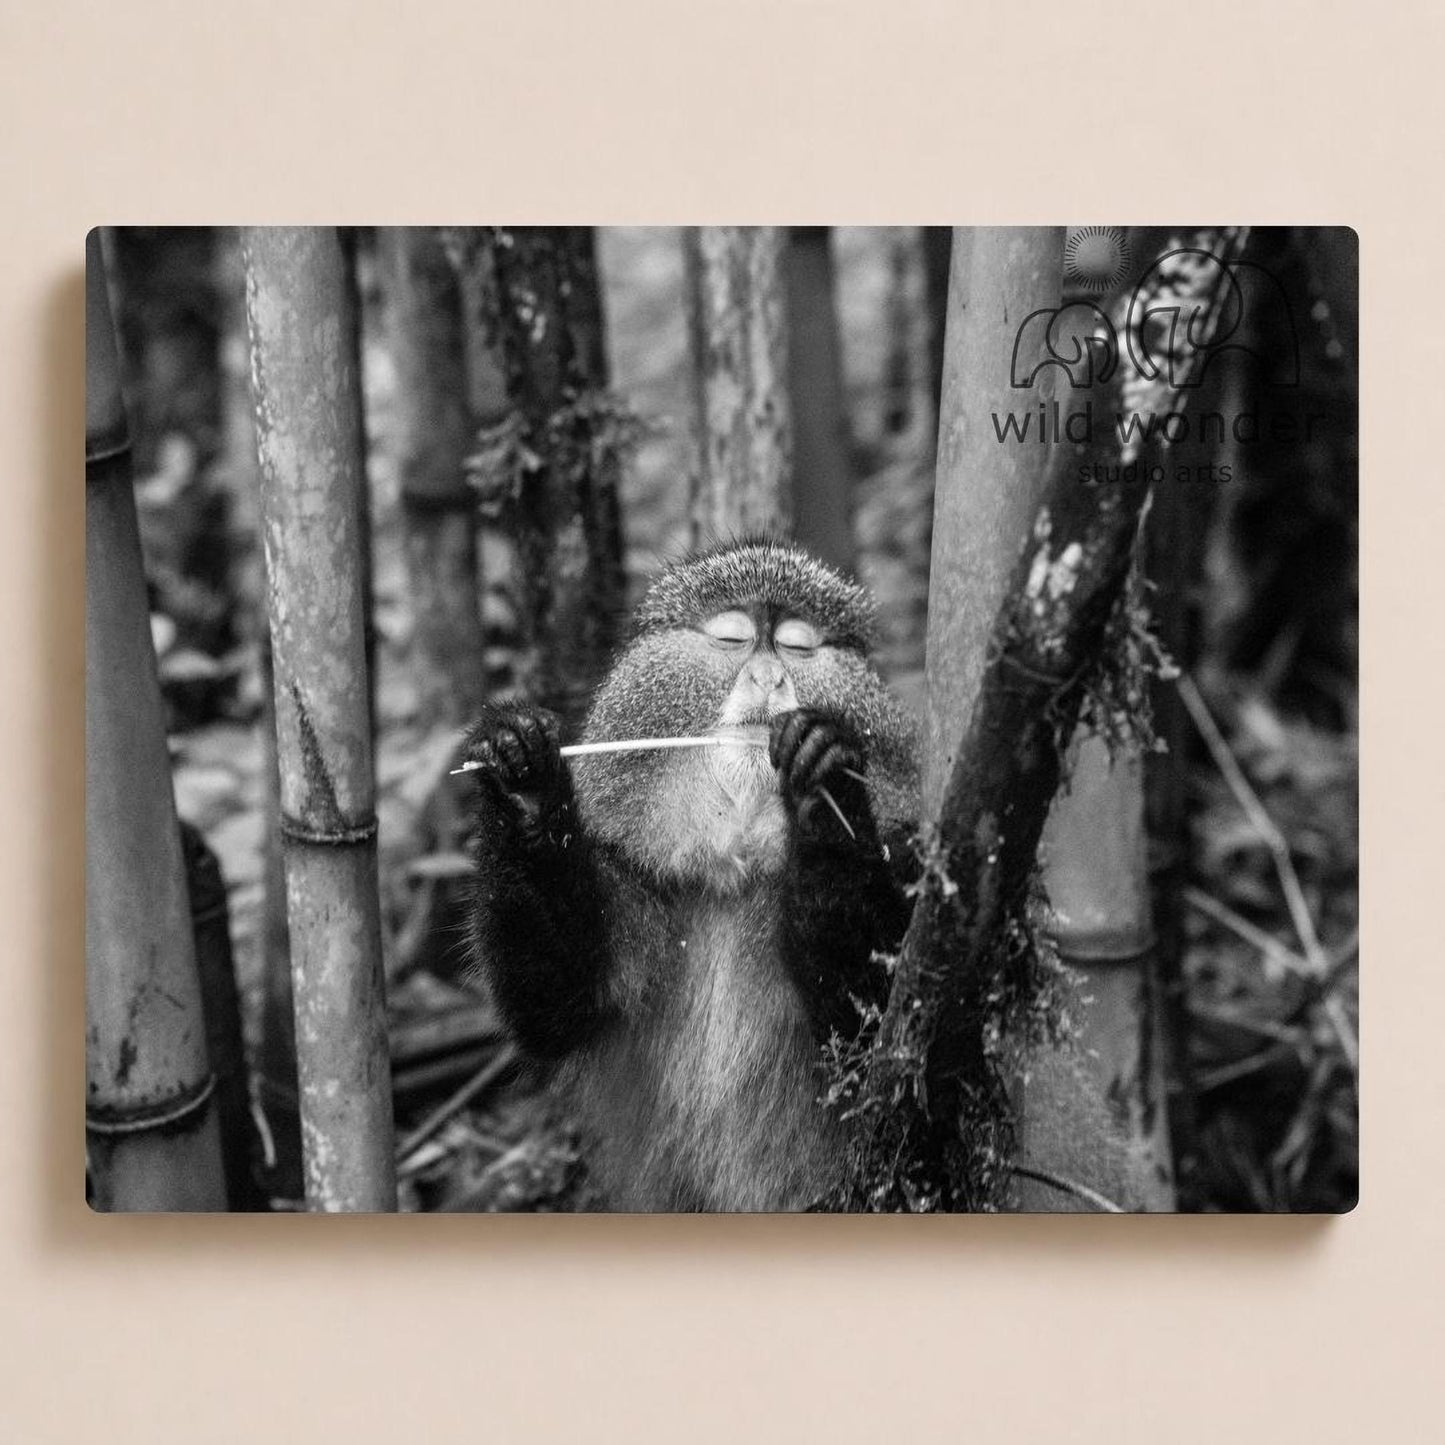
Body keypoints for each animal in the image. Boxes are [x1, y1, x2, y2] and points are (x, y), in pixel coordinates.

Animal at [462, 538, 920, 1211]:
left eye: (798, 647)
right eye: (733, 639)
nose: (768, 676)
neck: (736, 868)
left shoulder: (910, 856)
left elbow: (883, 1035)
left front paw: (826, 774)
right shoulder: (626, 870)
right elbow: (555, 1004)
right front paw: (525, 783)